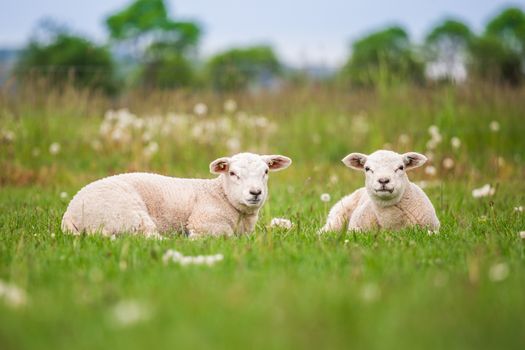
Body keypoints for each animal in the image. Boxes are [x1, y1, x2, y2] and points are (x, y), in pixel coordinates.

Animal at [62, 153, 292, 238]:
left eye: (266, 171)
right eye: (233, 173)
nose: (255, 192)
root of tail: (69, 215)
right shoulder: (204, 221)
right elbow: (225, 236)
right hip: (127, 214)